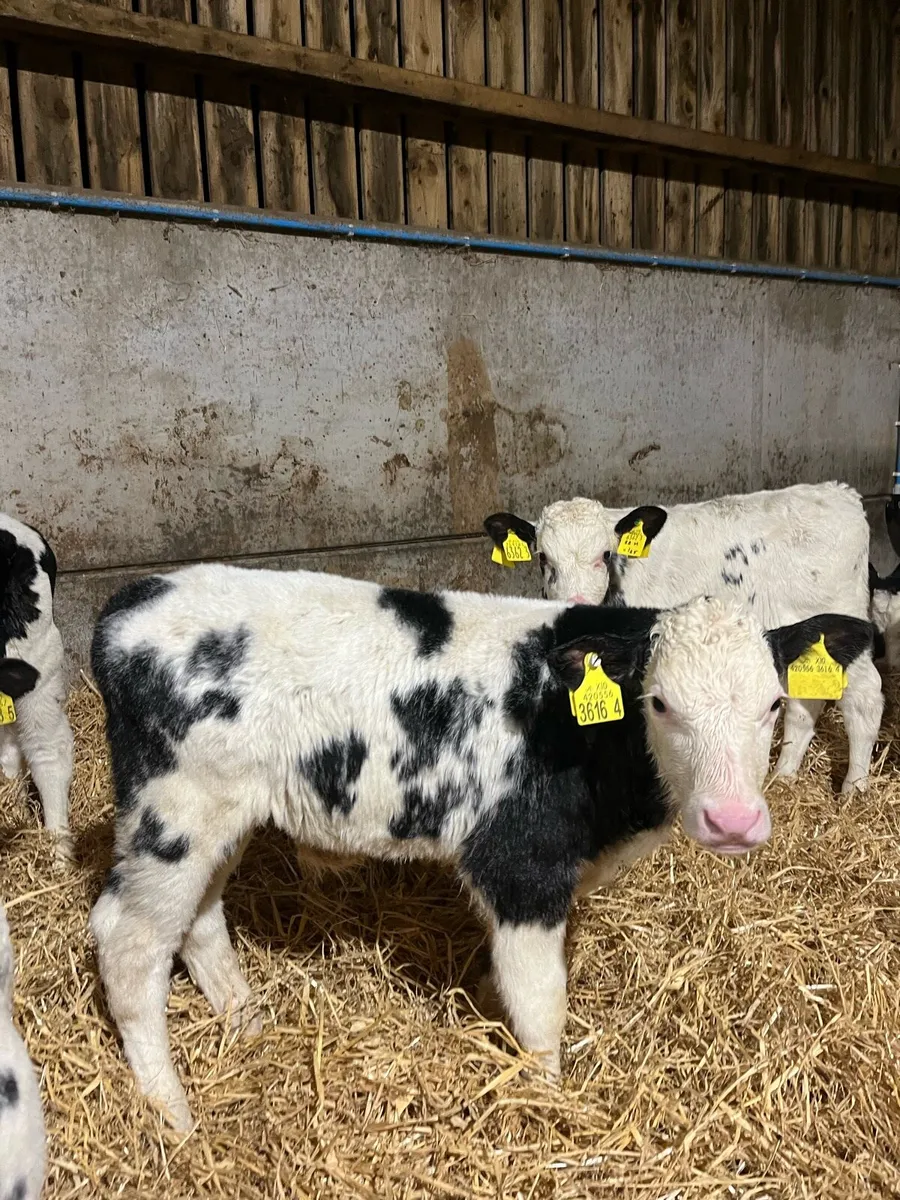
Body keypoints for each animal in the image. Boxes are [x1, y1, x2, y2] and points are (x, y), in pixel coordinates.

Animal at [87, 563, 872, 1131]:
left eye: (773, 703)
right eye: (659, 702)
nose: (733, 819)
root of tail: (131, 599)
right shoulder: (519, 864)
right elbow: (542, 1001)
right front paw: (550, 1104)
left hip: (224, 817)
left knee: (198, 920)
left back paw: (246, 1022)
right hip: (178, 811)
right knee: (129, 940)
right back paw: (173, 1112)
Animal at [485, 482, 883, 795]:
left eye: (605, 554)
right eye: (543, 558)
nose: (575, 602)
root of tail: (838, 493)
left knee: (865, 697)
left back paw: (854, 787)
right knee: (805, 703)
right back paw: (783, 776)